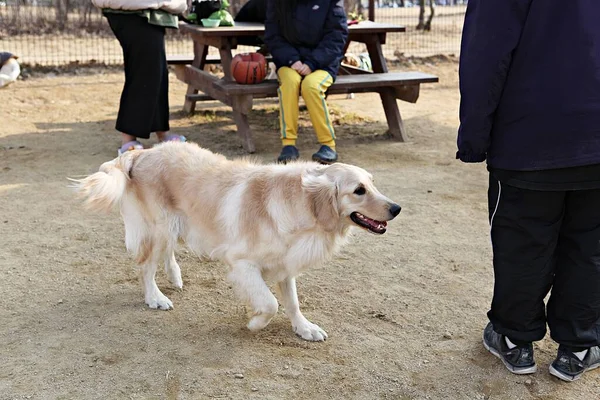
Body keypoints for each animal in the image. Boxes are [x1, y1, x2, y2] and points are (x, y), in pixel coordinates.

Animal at [72, 142, 400, 342]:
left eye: (373, 184)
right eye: (359, 191)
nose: (397, 208)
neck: (301, 204)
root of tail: (141, 151)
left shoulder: (285, 265)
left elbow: (292, 302)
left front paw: (304, 328)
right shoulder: (242, 264)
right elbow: (270, 304)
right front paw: (255, 323)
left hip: (174, 225)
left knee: (166, 256)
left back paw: (175, 277)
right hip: (158, 227)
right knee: (145, 268)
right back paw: (155, 297)